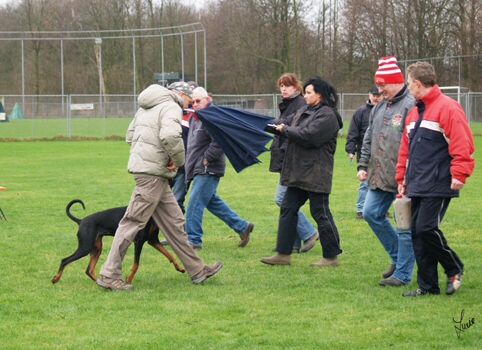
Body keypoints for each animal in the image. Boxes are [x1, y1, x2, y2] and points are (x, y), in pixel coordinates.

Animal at [52, 200, 185, 284]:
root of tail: (81, 221)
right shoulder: (139, 241)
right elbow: (136, 264)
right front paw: (129, 279)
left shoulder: (153, 240)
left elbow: (170, 254)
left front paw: (179, 267)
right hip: (85, 247)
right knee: (65, 260)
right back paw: (55, 279)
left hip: (97, 248)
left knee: (89, 270)